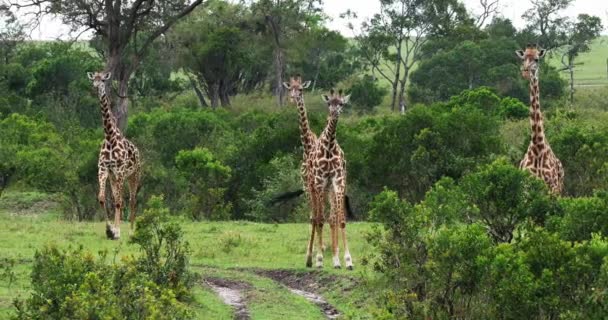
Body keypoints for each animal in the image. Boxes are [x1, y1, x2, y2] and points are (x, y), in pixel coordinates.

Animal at [88, 71, 142, 239]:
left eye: (103, 80)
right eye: (93, 80)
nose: (96, 88)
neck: (110, 137)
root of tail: (138, 151)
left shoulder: (120, 170)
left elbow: (118, 201)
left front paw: (117, 231)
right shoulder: (104, 169)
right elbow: (102, 198)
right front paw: (109, 229)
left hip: (134, 175)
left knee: (131, 200)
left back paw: (131, 231)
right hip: (115, 177)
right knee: (120, 198)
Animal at [516, 43, 564, 194]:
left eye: (537, 59)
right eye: (523, 58)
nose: (525, 72)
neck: (537, 146)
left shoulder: (553, 188)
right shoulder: (525, 189)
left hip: (560, 189)